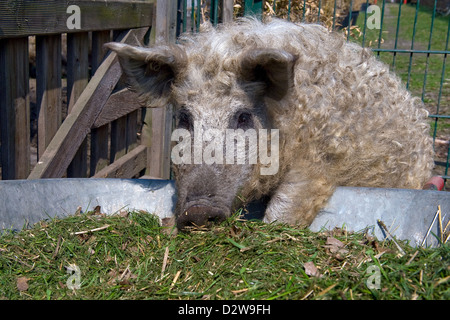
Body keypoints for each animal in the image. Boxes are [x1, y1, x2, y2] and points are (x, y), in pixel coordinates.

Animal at [104, 16, 432, 230]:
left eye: (243, 116)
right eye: (184, 117)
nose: (197, 211)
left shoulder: (321, 164)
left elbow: (287, 206)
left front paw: (271, 230)